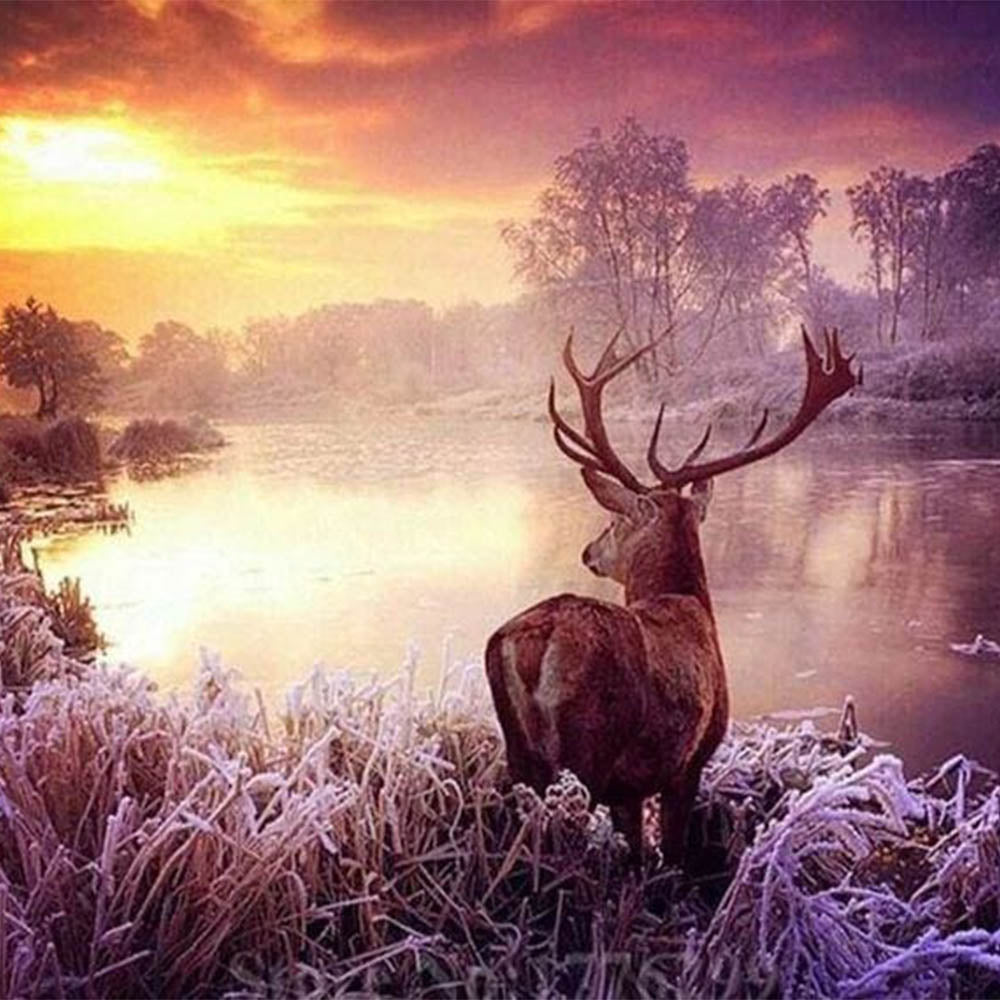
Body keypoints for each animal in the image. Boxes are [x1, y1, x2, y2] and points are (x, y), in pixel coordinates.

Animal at [485, 326, 860, 864]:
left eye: (614, 520)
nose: (588, 551)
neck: (687, 600)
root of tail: (536, 639)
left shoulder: (630, 787)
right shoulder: (689, 760)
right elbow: (672, 853)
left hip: (520, 753)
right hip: (587, 752)